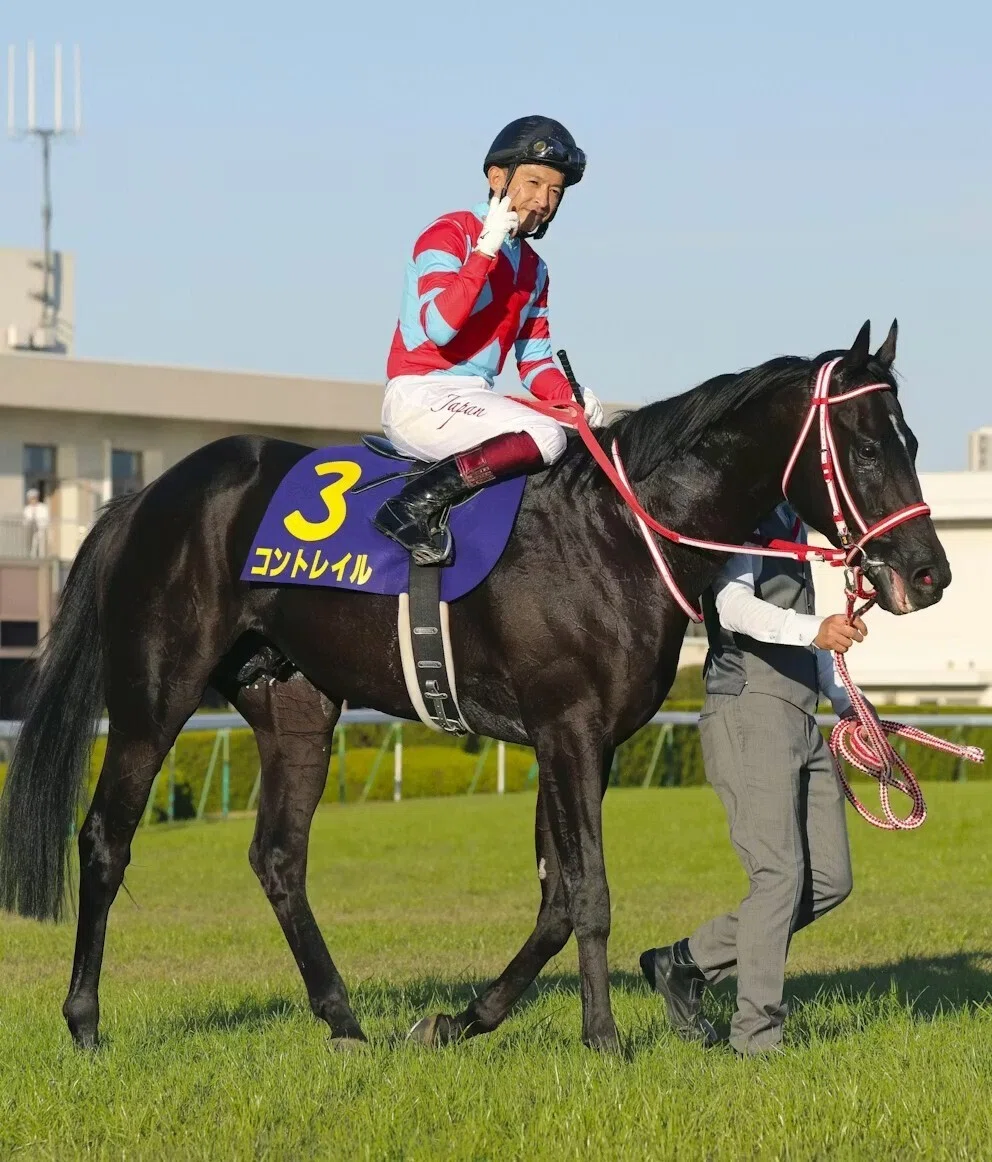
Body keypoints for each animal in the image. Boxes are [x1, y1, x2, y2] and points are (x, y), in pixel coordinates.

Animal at [0, 320, 948, 1054]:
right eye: (867, 447)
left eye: (911, 442)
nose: (928, 573)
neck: (616, 533)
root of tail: (148, 494)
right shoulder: (567, 730)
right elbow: (588, 892)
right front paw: (604, 1038)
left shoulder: (584, 741)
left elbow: (557, 898)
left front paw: (461, 1021)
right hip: (154, 695)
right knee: (106, 840)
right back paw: (85, 1022)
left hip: (295, 703)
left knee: (277, 856)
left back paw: (344, 1020)